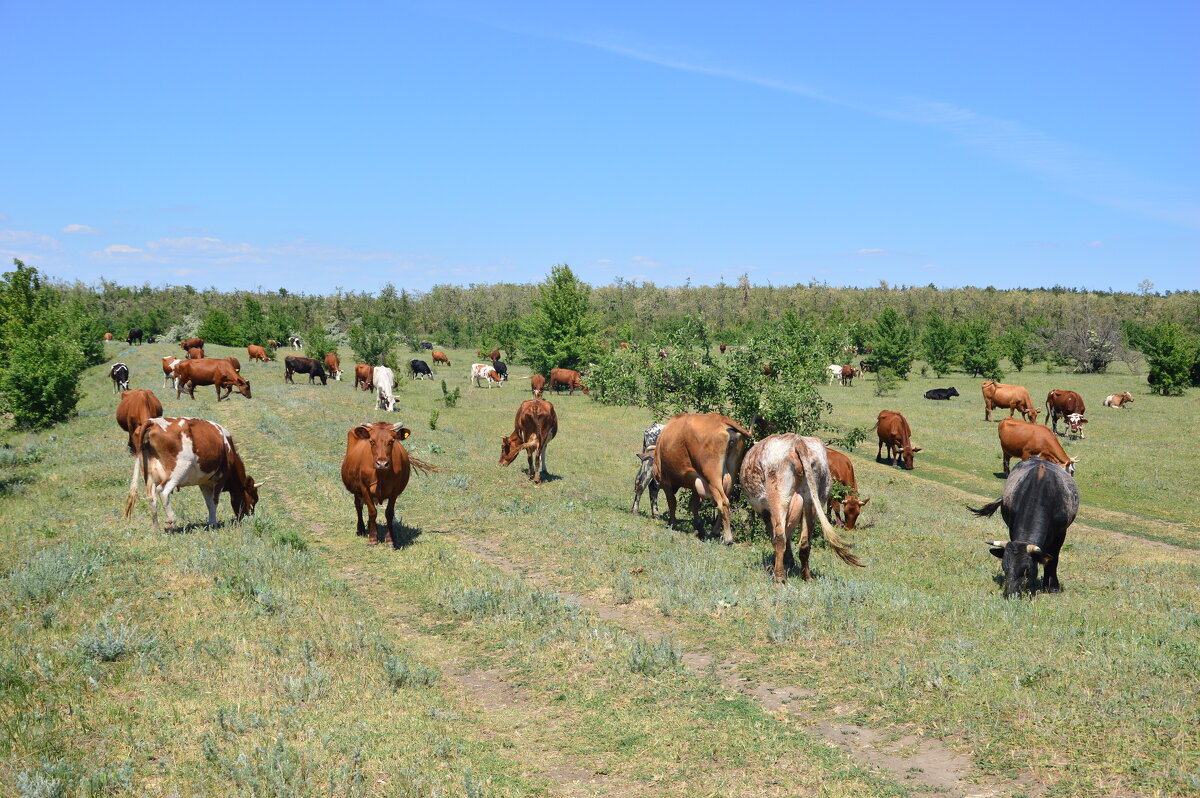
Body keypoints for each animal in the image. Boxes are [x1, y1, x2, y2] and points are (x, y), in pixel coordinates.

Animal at [123, 417, 261, 528]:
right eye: (254, 499)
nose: (248, 518)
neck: (228, 448)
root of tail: (152, 422)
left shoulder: (205, 482)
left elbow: (209, 503)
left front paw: (211, 523)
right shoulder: (220, 478)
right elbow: (214, 501)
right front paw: (213, 524)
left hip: (149, 476)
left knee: (151, 498)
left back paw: (156, 528)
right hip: (178, 469)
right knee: (163, 490)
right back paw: (171, 520)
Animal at [652, 412, 744, 544]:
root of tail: (721, 419)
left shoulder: (666, 482)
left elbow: (672, 503)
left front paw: (672, 524)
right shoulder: (696, 483)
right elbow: (694, 505)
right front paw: (699, 527)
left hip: (712, 478)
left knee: (723, 502)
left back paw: (727, 538)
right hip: (730, 473)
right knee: (726, 501)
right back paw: (714, 532)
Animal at [739, 432, 864, 583]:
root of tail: (797, 441)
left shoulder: (766, 511)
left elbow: (776, 535)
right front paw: (790, 560)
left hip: (779, 499)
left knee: (780, 538)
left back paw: (779, 577)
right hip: (812, 502)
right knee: (804, 543)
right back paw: (807, 576)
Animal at [969, 453, 1084, 597]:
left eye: (1027, 570)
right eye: (1004, 568)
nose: (1010, 594)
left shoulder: (1061, 534)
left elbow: (1053, 559)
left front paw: (1052, 587)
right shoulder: (1012, 527)